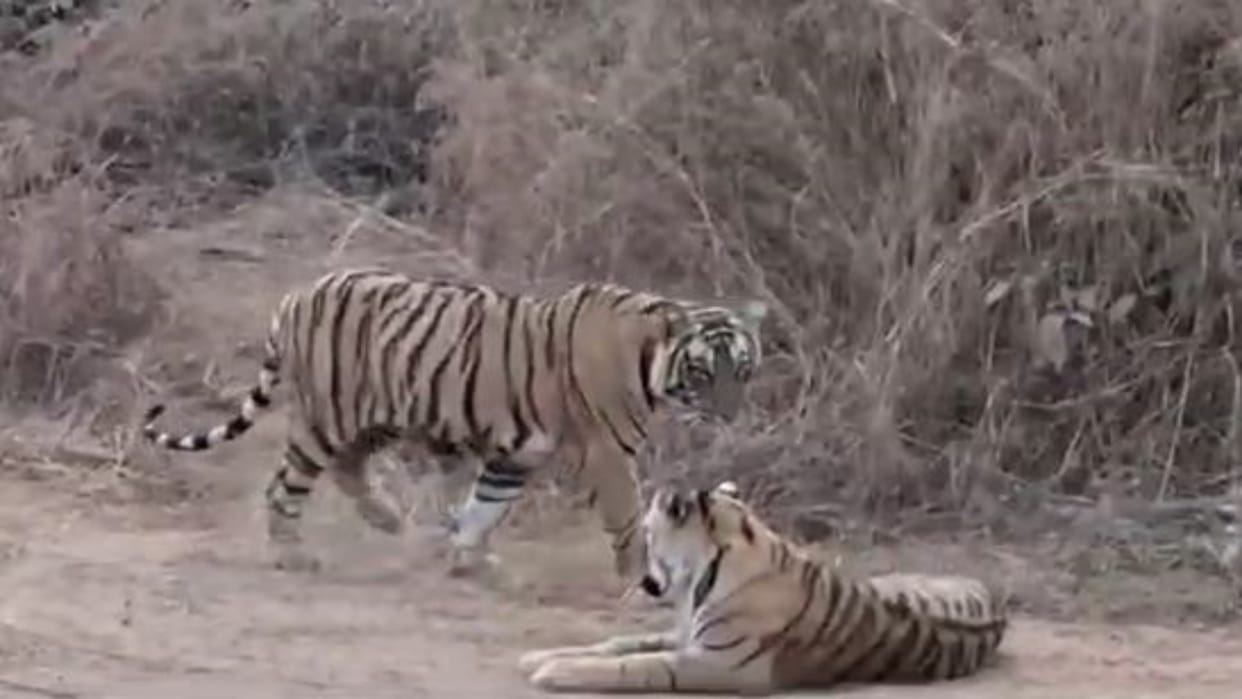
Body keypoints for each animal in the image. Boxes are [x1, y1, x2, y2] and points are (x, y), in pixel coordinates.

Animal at [140, 267, 768, 581]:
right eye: (703, 371)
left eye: (741, 368)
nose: (728, 413)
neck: (650, 361)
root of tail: (296, 295)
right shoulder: (606, 454)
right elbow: (627, 516)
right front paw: (638, 576)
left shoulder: (516, 455)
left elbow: (485, 507)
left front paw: (469, 558)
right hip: (329, 415)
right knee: (285, 485)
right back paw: (293, 554)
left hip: (376, 414)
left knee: (349, 468)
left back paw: (386, 518)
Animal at [519, 481, 1008, 694]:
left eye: (649, 537)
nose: (639, 577)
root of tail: (993, 593)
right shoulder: (687, 634)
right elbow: (621, 642)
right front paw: (538, 656)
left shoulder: (723, 663)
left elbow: (639, 665)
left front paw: (557, 671)